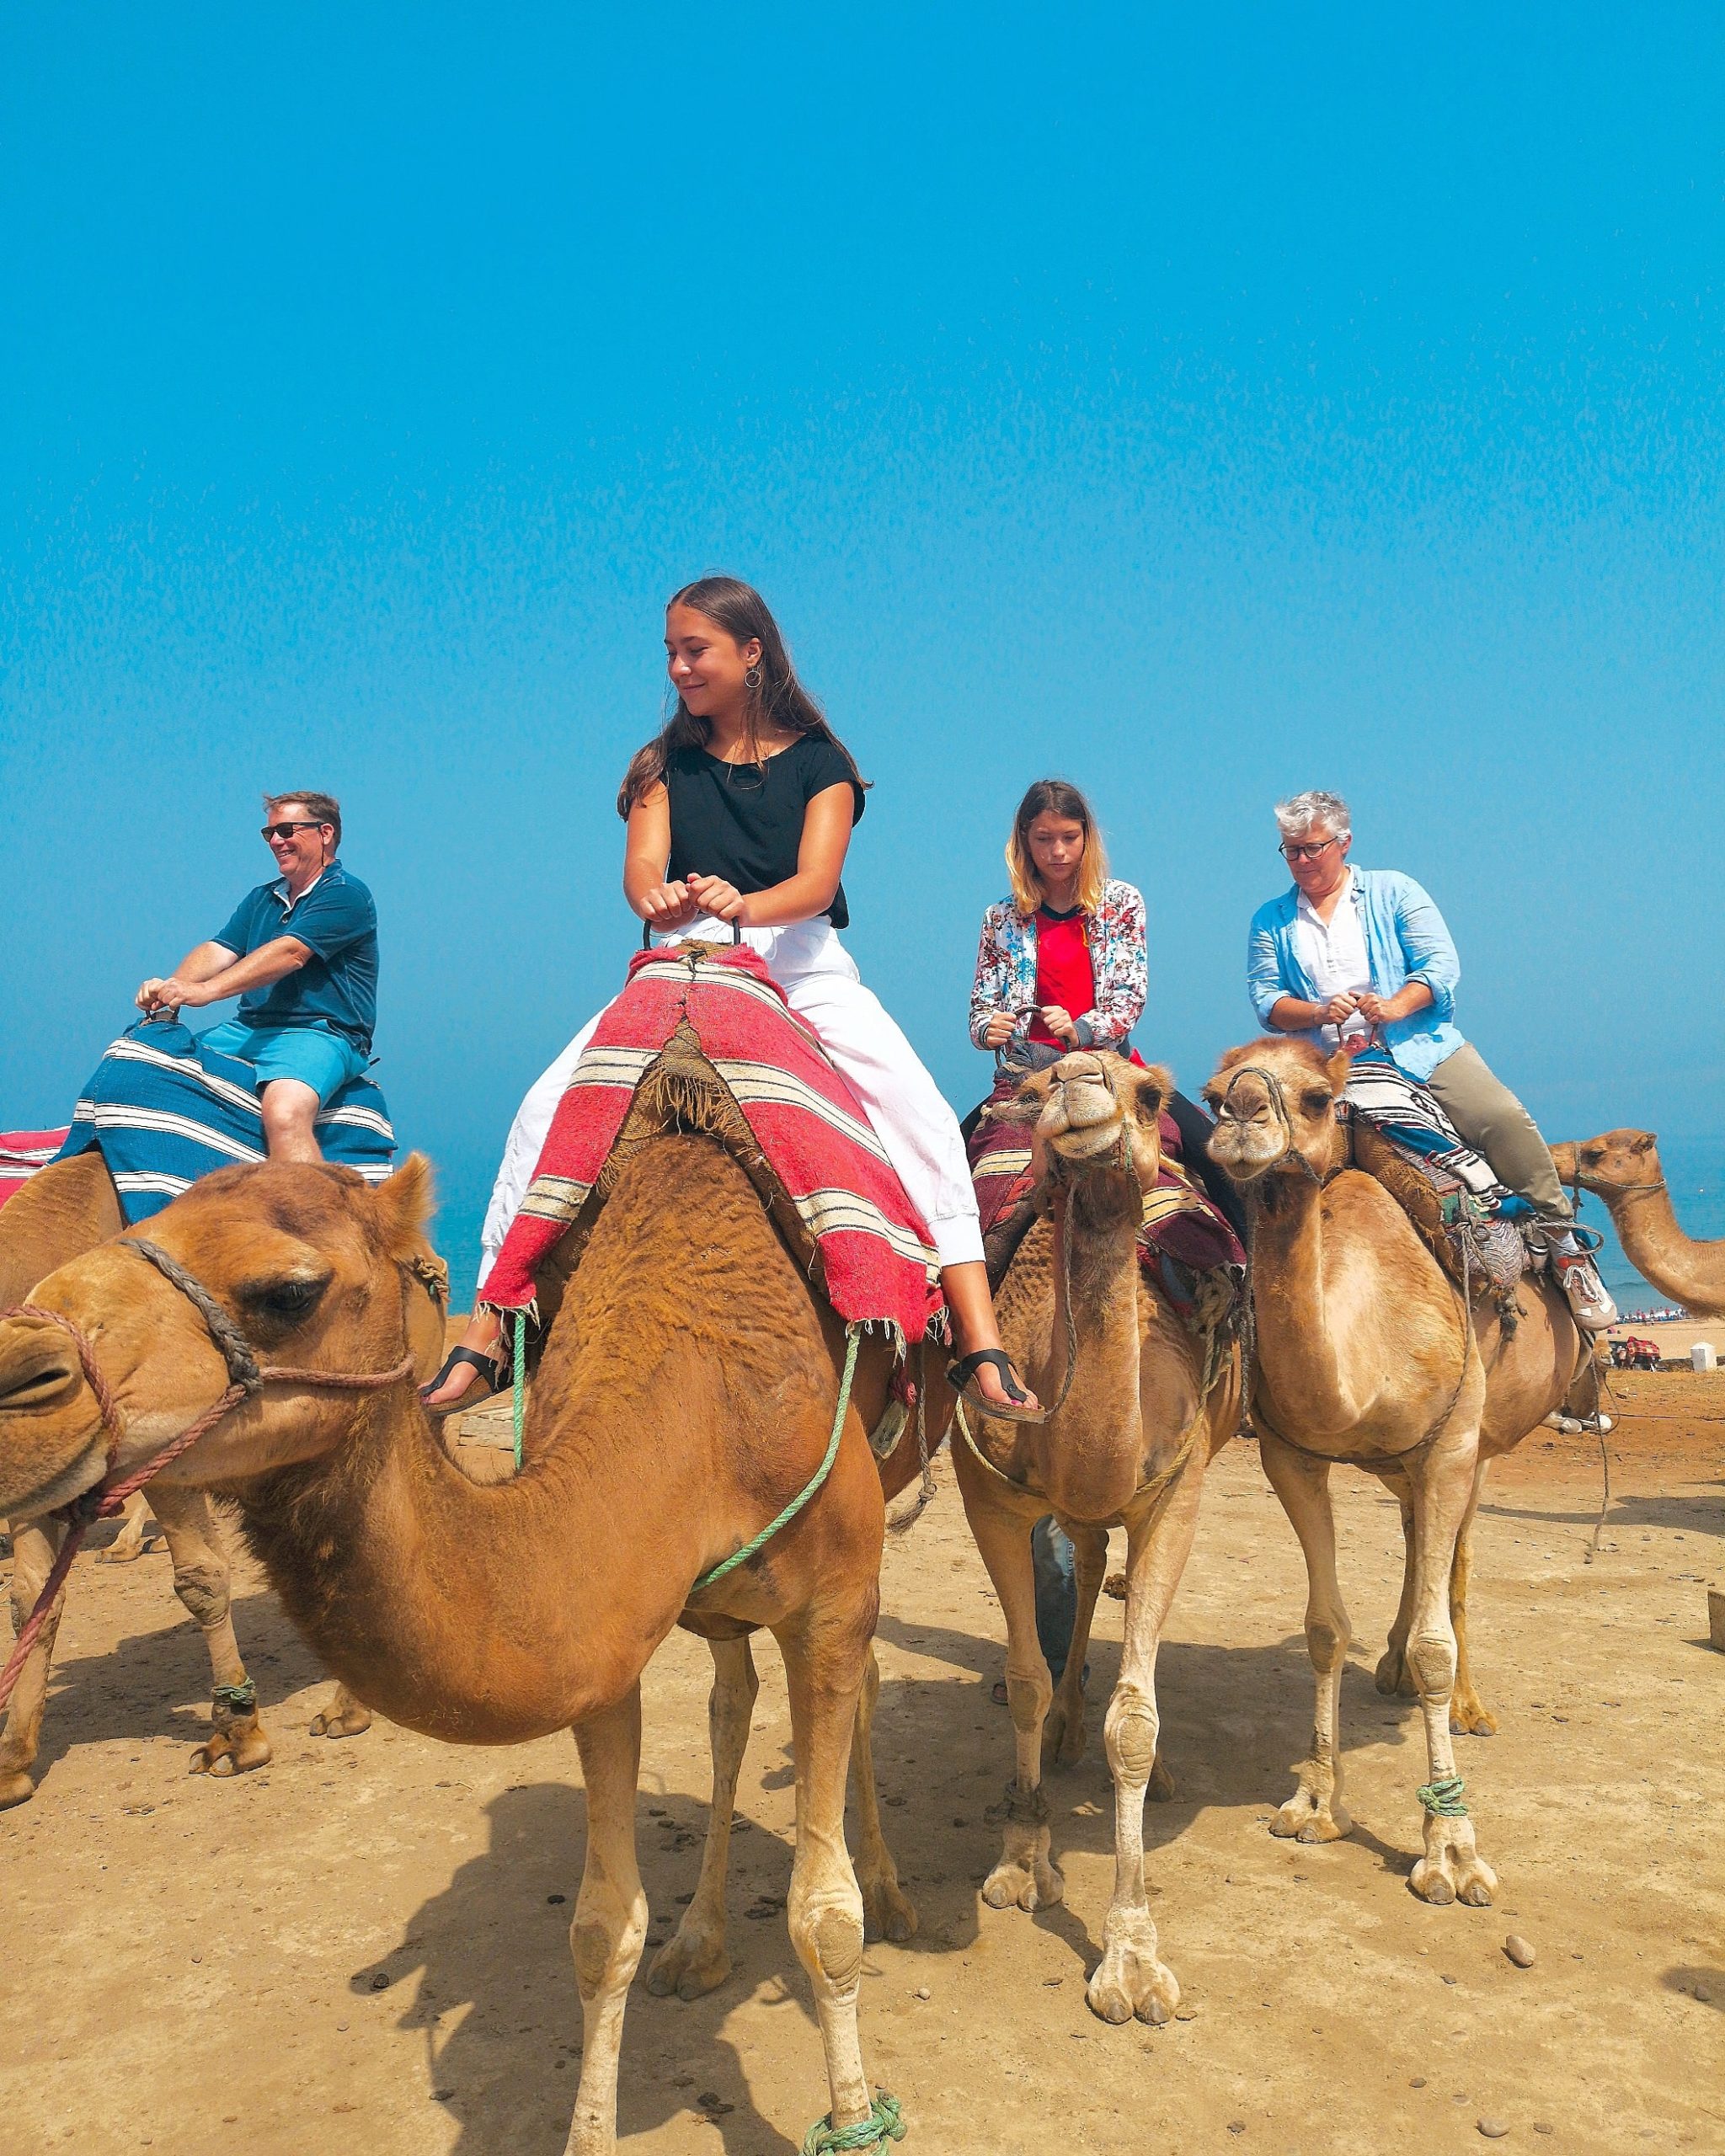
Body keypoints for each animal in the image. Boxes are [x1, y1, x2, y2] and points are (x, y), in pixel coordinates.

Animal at [0, 1146, 914, 2156]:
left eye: (288, 1291)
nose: (19, 1380)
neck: (709, 1397)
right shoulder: (608, 1629)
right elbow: (601, 1929)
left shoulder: (831, 1601)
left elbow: (824, 1914)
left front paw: (854, 2114)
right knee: (729, 1702)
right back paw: (699, 1943)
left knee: (864, 1686)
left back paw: (891, 1891)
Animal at [948, 1052, 1233, 2026]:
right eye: (1036, 1091)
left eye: (1149, 1095)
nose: (1078, 1078)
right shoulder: (987, 1493)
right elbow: (1025, 1680)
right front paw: (1018, 1859)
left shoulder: (1175, 1491)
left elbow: (1135, 1722)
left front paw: (1132, 1957)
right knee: (1084, 1554)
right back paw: (1068, 1726)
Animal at [1207, 1043, 1587, 1906]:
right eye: (1212, 1095)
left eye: (1318, 1097)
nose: (1242, 1119)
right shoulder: (1290, 1454)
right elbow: (1322, 1627)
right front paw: (1316, 1804)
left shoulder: (1451, 1446)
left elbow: (1438, 1644)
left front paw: (1451, 1849)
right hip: (1402, 1465)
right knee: (1418, 1538)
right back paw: (1389, 1668)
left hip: (1479, 1444)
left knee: (1459, 1558)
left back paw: (1469, 1705)